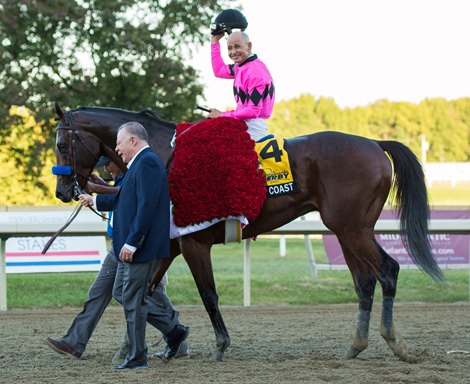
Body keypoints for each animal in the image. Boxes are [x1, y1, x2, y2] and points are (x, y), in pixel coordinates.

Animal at [53, 103, 442, 362]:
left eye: (60, 144)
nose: (63, 191)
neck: (166, 157)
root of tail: (375, 144)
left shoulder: (193, 242)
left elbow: (207, 294)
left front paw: (220, 344)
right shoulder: (170, 243)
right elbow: (142, 294)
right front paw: (143, 346)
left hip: (353, 228)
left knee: (388, 270)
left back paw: (395, 342)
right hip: (346, 231)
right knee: (364, 281)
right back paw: (355, 346)